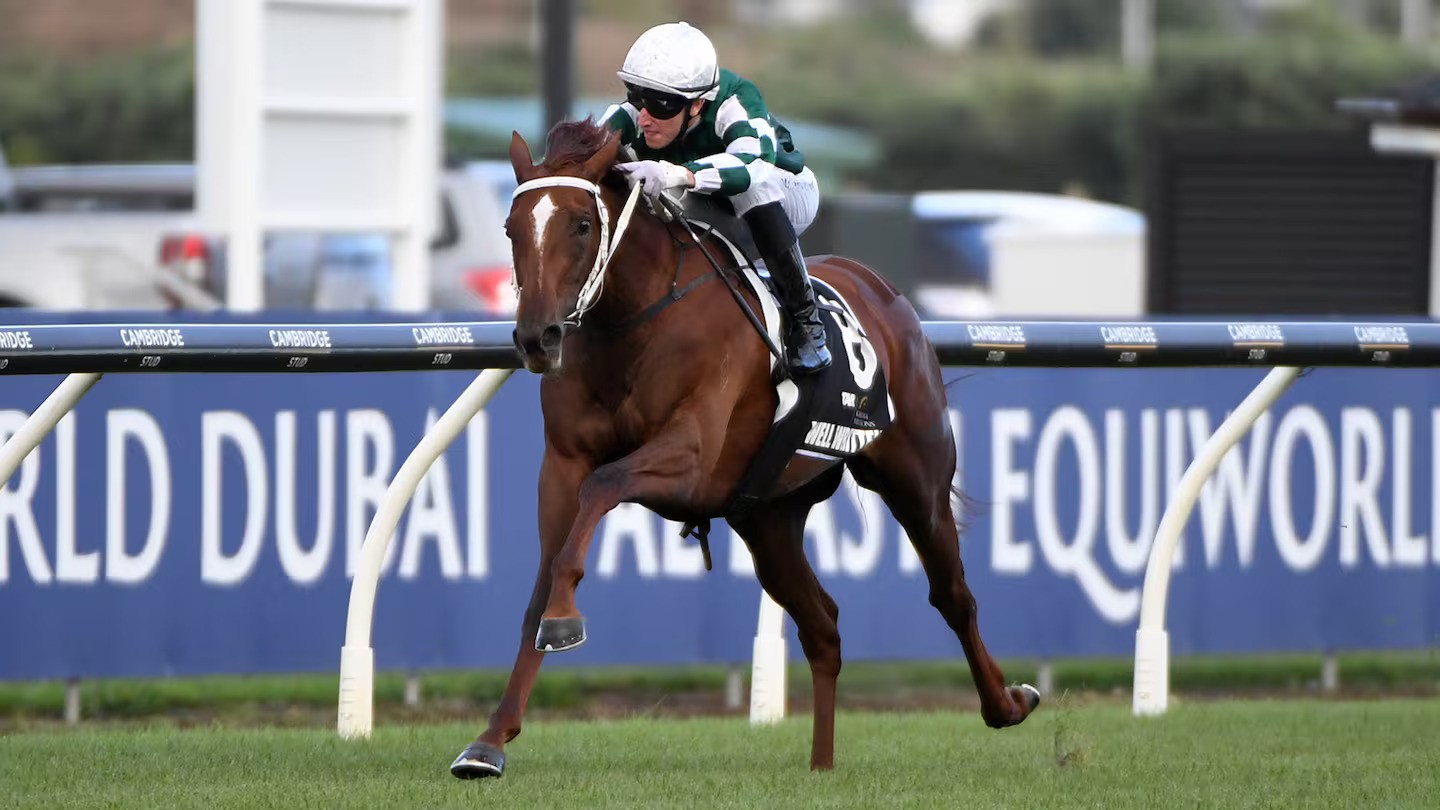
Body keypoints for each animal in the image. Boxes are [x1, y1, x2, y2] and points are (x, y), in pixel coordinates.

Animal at [450, 118, 1039, 779]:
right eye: (511, 227)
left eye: (581, 224)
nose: (538, 337)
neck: (635, 321)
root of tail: (886, 292)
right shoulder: (562, 463)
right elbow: (540, 586)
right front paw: (490, 741)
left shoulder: (691, 460)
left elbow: (603, 489)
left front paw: (563, 619)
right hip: (768, 516)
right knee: (823, 625)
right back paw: (822, 763)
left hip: (916, 481)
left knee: (953, 596)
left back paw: (1008, 703)